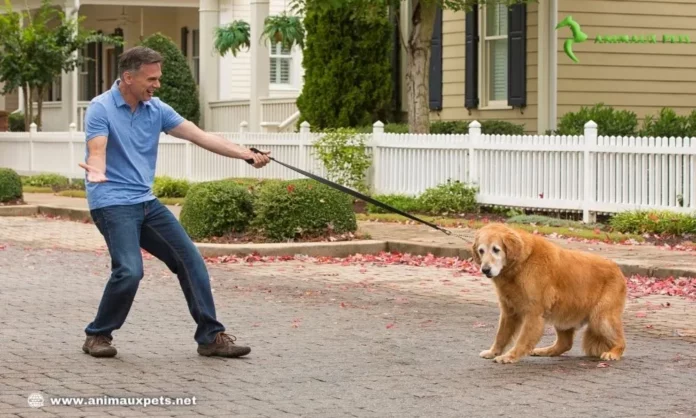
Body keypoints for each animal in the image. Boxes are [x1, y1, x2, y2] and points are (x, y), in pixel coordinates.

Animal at [470, 224, 628, 364]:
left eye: (496, 250)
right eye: (481, 251)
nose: (485, 269)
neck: (522, 263)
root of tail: (618, 269)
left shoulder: (533, 313)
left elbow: (522, 340)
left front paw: (510, 356)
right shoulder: (509, 311)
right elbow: (501, 336)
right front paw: (493, 352)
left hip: (601, 318)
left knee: (621, 341)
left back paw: (613, 353)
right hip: (564, 315)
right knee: (565, 344)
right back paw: (544, 351)